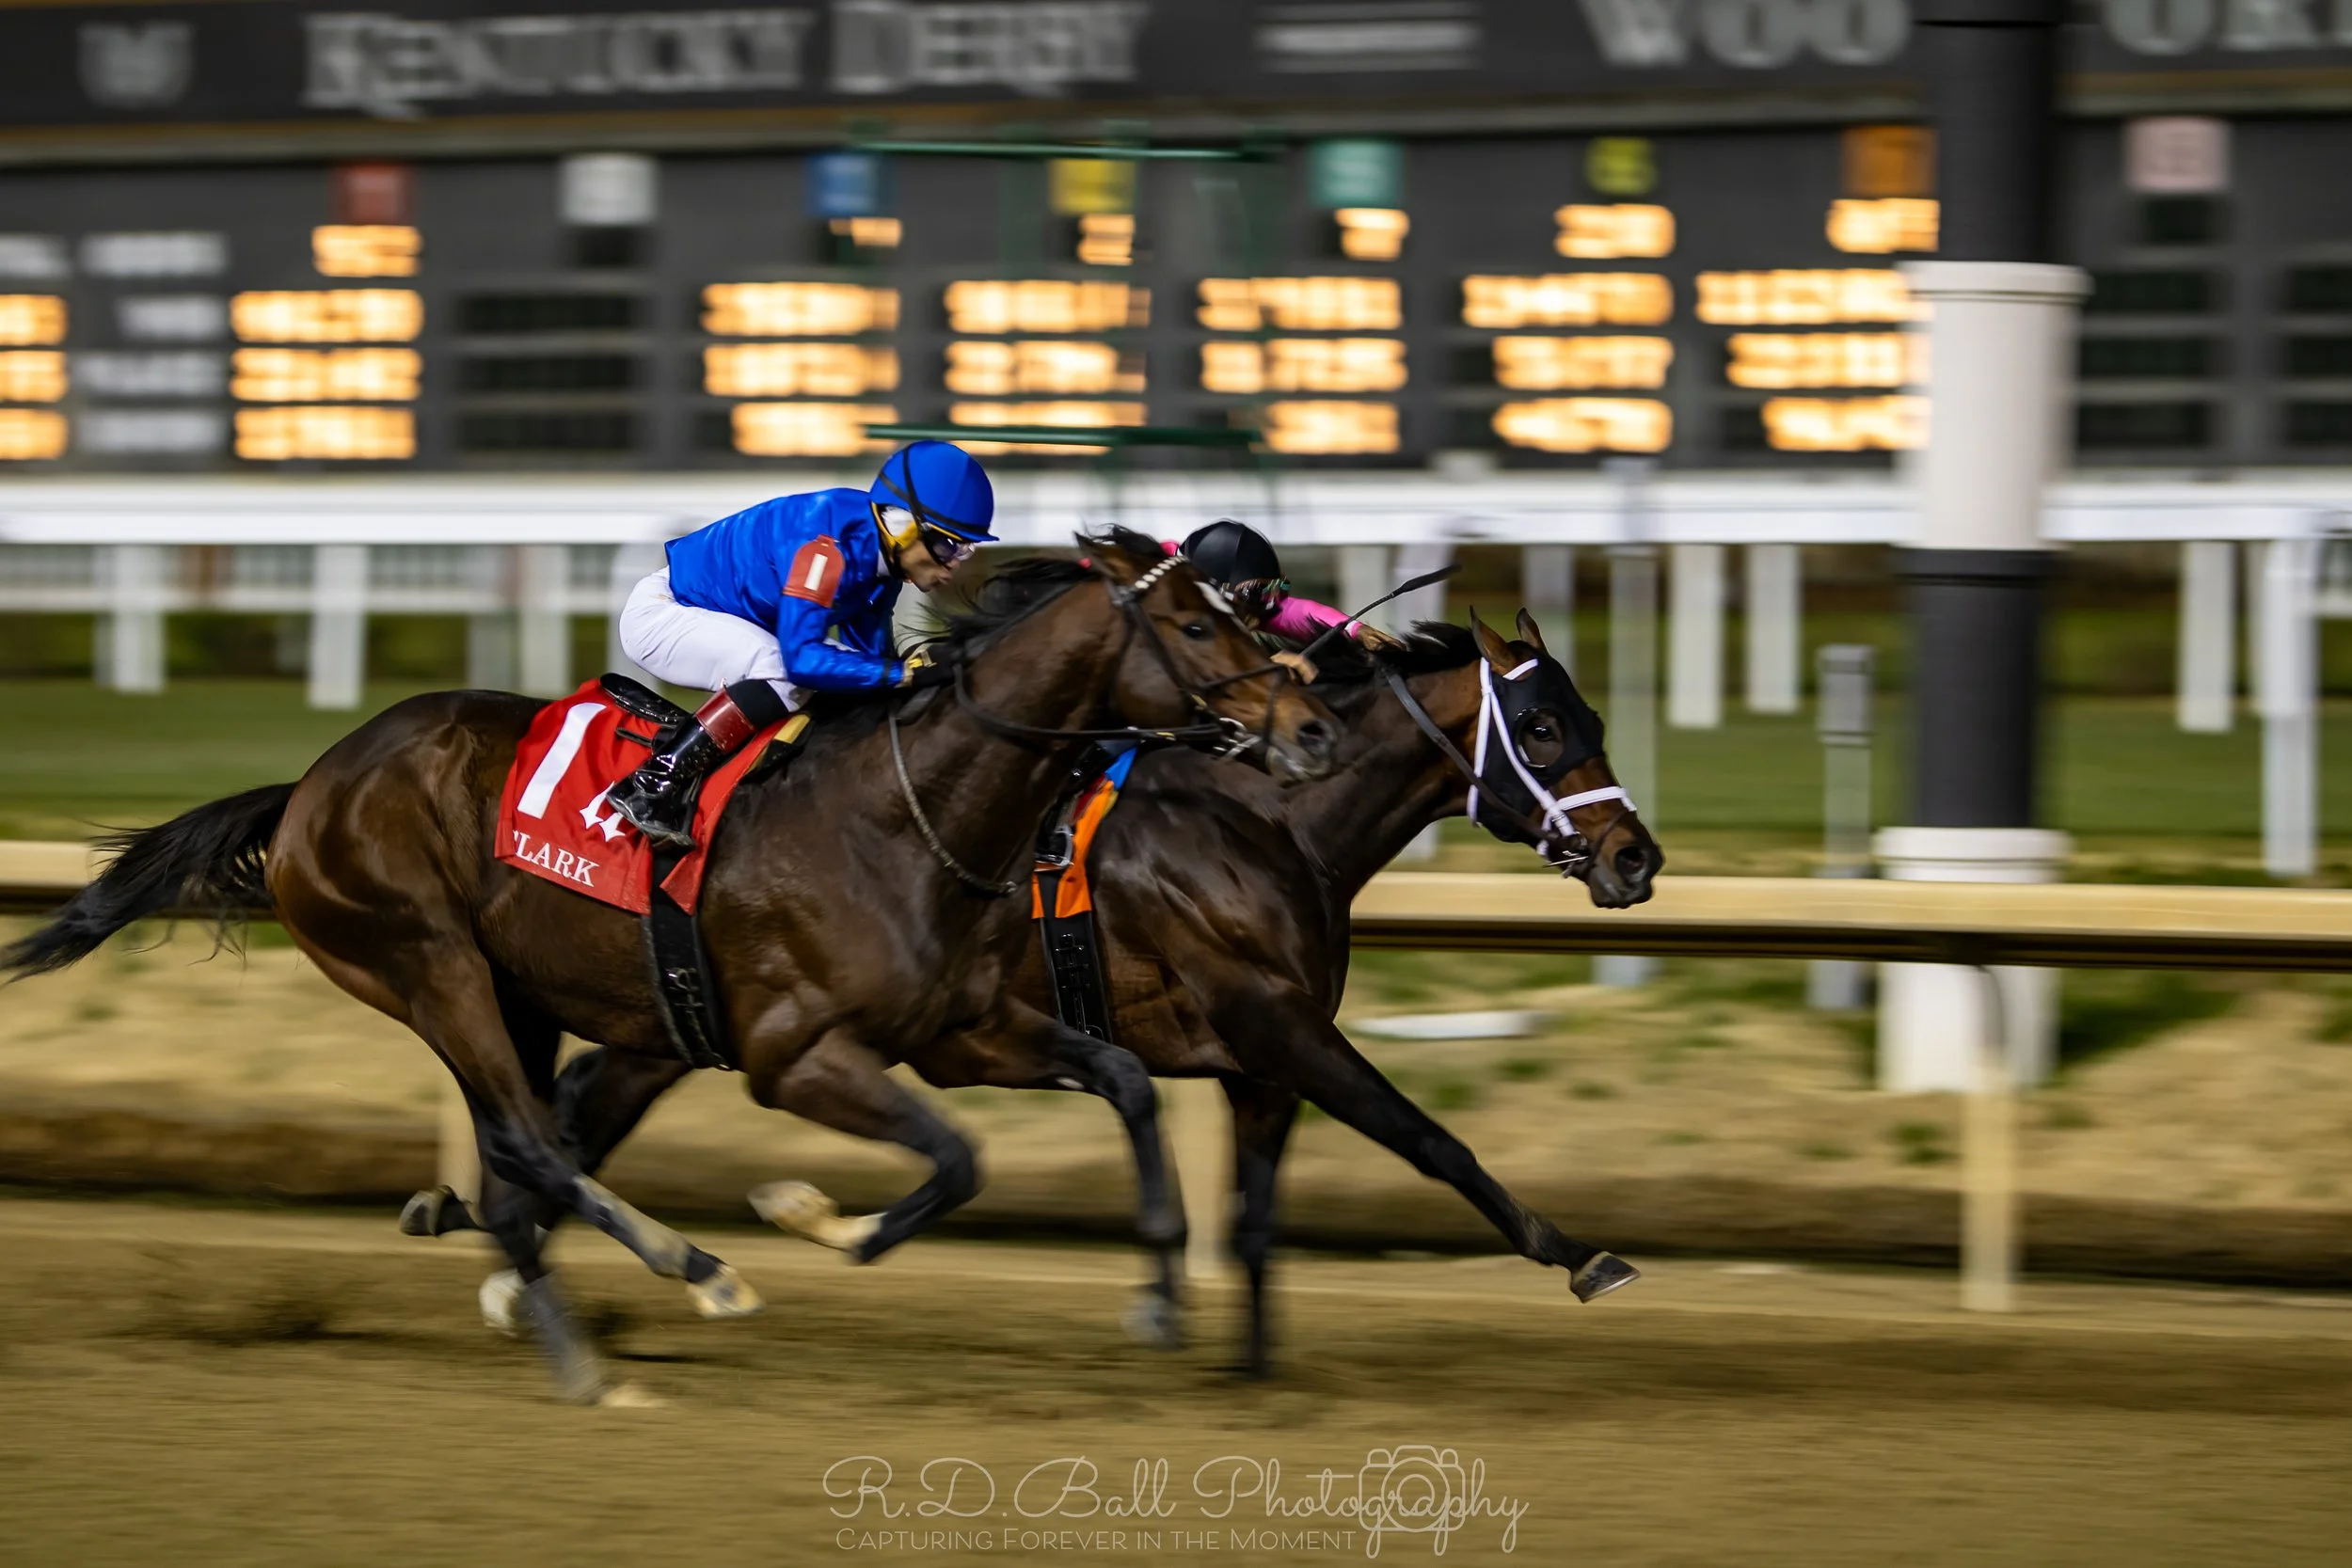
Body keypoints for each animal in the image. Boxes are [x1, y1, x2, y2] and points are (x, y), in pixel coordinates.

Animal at [3, 529, 1339, 1403]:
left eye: (1244, 613)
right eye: (1194, 623)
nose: (1312, 724)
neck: (905, 812)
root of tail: (309, 787)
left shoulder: (958, 1031)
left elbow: (1119, 1079)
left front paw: (1159, 1290)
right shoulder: (796, 1055)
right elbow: (957, 1157)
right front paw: (817, 1219)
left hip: (514, 989)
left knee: (518, 1156)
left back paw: (551, 1304)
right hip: (424, 959)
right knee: (532, 1143)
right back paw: (671, 1290)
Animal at [460, 604, 1661, 1371]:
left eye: (1594, 719)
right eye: (1543, 726)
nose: (1635, 858)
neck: (1266, 822)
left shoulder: (1258, 1063)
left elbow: (1256, 1222)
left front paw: (1244, 1366)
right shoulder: (1275, 1024)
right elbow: (1429, 1138)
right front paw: (1579, 1254)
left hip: (679, 1017)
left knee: (584, 1105)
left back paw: (530, 1260)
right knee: (576, 1112)